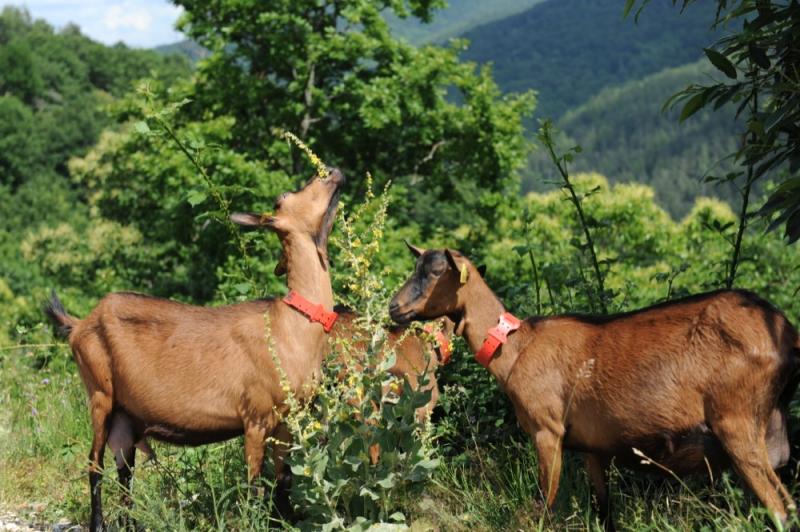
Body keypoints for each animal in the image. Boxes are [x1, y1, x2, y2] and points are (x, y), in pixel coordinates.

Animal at [43, 168, 344, 528]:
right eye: (282, 198)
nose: (332, 172)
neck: (290, 327)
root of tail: (79, 324)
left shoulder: (287, 419)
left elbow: (283, 480)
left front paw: (283, 523)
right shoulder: (255, 416)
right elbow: (254, 485)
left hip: (126, 414)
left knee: (125, 470)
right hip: (99, 393)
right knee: (94, 465)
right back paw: (99, 524)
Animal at [390, 244, 800, 528]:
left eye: (435, 272)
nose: (394, 308)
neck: (517, 348)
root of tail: (786, 331)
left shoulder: (548, 430)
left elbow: (545, 504)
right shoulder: (592, 447)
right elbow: (603, 511)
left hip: (737, 420)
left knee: (780, 508)